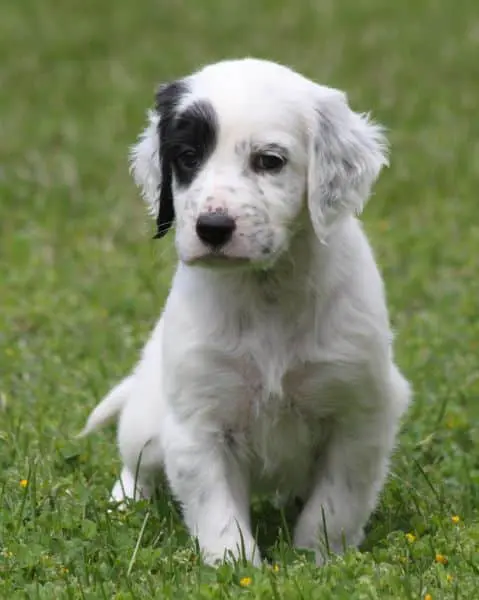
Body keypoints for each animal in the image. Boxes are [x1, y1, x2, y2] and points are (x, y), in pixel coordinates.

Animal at [79, 58, 411, 566]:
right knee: (136, 463)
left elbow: (335, 503)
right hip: (148, 423)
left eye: (269, 161)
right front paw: (236, 567)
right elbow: (218, 514)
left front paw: (317, 559)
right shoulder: (199, 423)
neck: (265, 292)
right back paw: (124, 502)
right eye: (187, 156)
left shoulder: (360, 412)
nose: (212, 227)